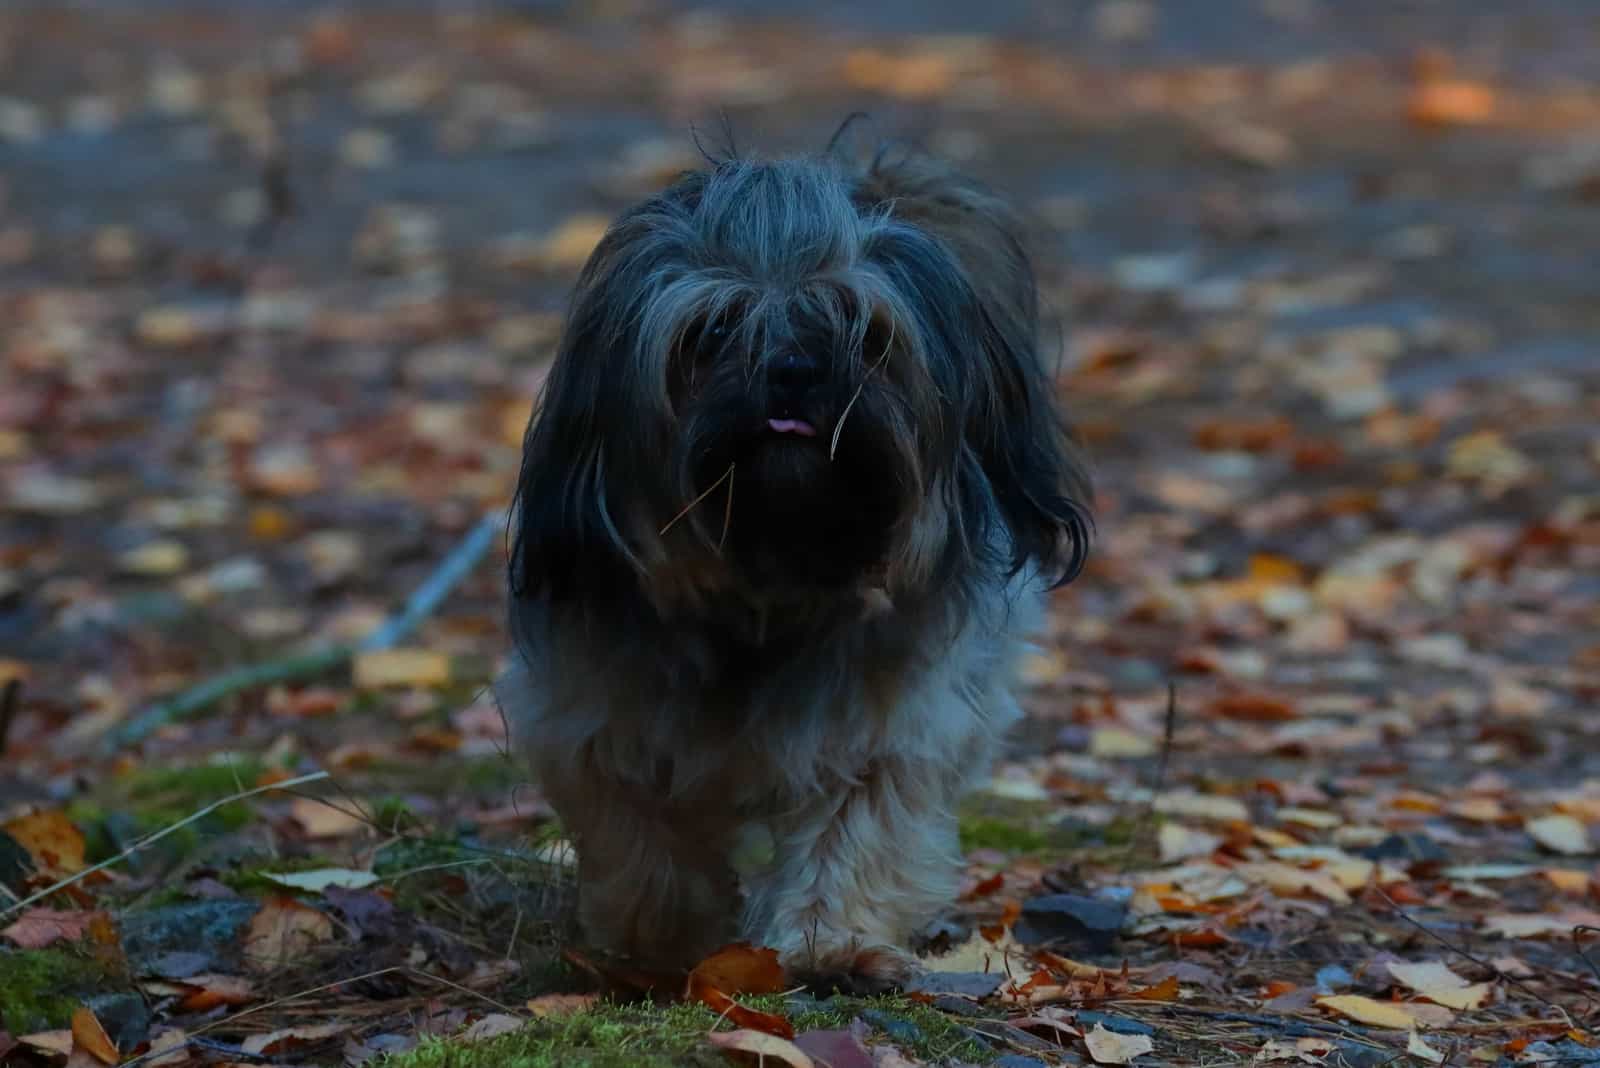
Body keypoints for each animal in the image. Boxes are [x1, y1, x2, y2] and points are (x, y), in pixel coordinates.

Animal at [505, 133, 1094, 991]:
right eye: (713, 332)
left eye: (862, 329)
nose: (791, 366)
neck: (770, 582)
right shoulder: (590, 714)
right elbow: (642, 838)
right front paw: (663, 943)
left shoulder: (890, 724)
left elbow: (856, 828)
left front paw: (830, 942)